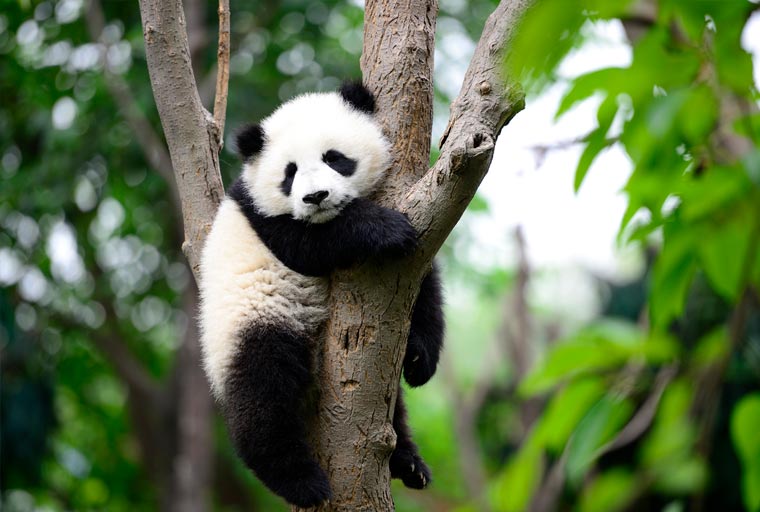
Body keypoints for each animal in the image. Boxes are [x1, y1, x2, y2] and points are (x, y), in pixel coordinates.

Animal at [198, 82, 444, 508]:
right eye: (289, 173)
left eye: (335, 158)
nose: (316, 197)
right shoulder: (266, 221)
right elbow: (313, 244)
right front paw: (385, 229)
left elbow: (423, 284)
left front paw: (418, 358)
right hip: (252, 320)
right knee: (262, 391)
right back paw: (299, 480)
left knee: (390, 406)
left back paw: (408, 463)